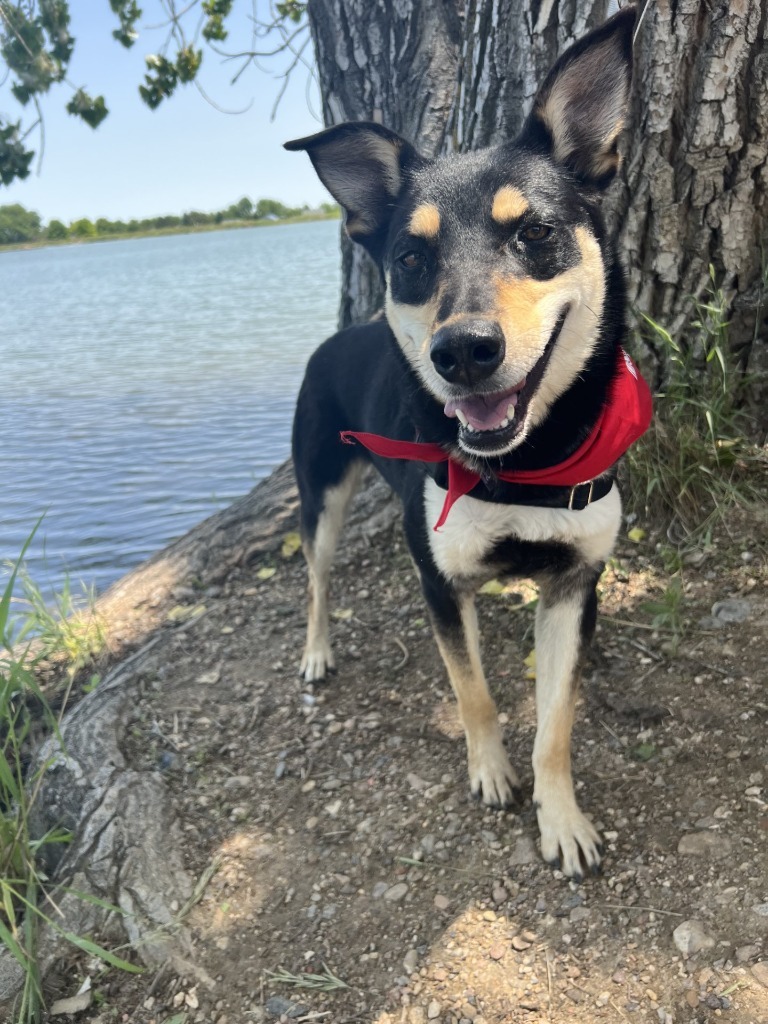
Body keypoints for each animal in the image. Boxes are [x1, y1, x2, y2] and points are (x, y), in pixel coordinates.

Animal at [286, 2, 651, 880]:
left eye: (537, 234)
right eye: (411, 257)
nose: (464, 352)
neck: (523, 464)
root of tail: (335, 337)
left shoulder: (573, 586)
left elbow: (555, 725)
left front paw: (563, 819)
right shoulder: (442, 584)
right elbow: (474, 691)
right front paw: (490, 772)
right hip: (323, 494)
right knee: (315, 577)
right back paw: (316, 651)